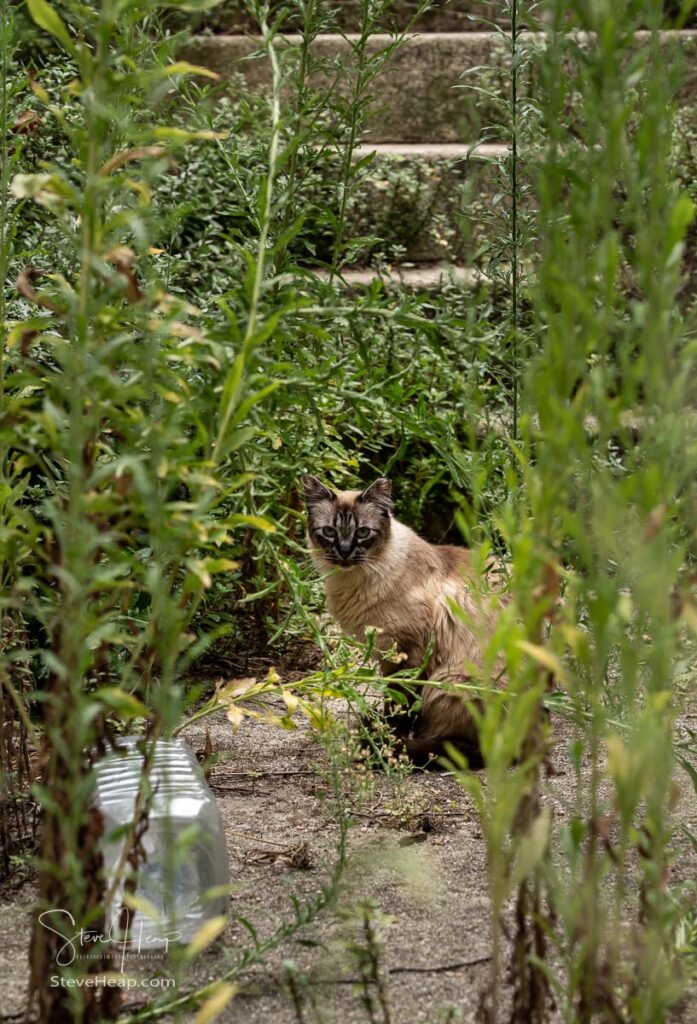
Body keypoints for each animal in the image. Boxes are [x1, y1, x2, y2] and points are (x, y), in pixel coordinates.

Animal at [300, 475, 503, 765]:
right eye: (329, 532)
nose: (345, 551)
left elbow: (399, 706)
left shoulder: (407, 655)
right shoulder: (388, 653)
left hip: (453, 680)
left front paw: (387, 741)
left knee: (464, 748)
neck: (354, 580)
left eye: (362, 532)